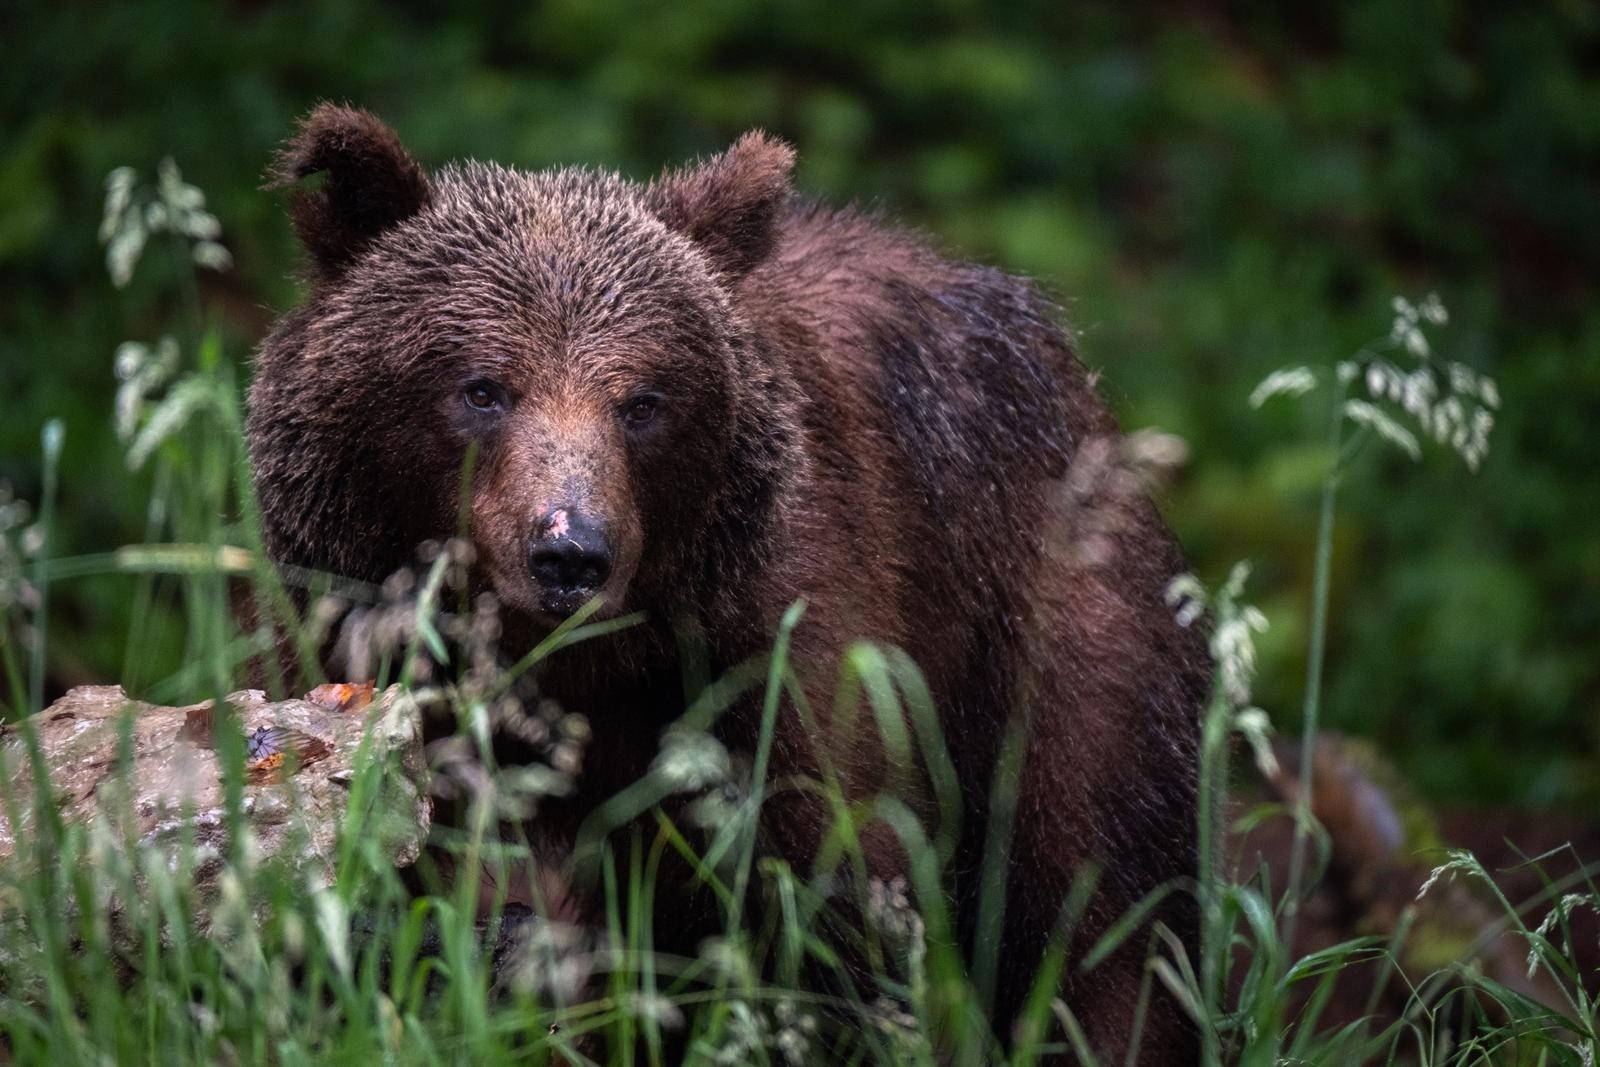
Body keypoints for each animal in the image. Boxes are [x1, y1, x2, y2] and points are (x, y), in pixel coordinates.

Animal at [246, 103, 1203, 1062]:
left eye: (644, 401)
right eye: (483, 388)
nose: (569, 550)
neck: (567, 668)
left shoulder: (768, 659)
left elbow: (821, 897)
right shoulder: (354, 643)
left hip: (1044, 611)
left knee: (1104, 884)